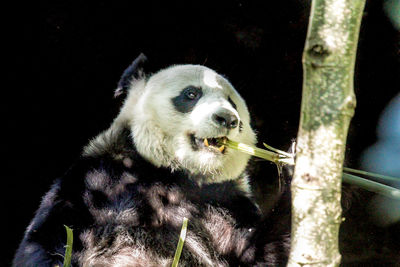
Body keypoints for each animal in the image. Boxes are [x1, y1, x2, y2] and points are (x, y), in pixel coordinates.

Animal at [13, 55, 290, 267]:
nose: (227, 119)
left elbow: (260, 255)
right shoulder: (98, 180)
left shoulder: (227, 205)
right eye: (191, 93)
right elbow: (51, 238)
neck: (174, 175)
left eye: (233, 103)